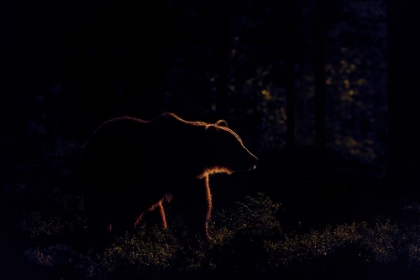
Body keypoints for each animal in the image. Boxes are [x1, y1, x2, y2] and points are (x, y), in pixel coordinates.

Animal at [79, 111, 256, 247]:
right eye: (237, 145)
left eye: (240, 141)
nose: (254, 159)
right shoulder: (153, 175)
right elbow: (131, 208)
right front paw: (121, 234)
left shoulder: (190, 177)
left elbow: (197, 204)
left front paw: (205, 237)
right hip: (103, 175)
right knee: (100, 209)